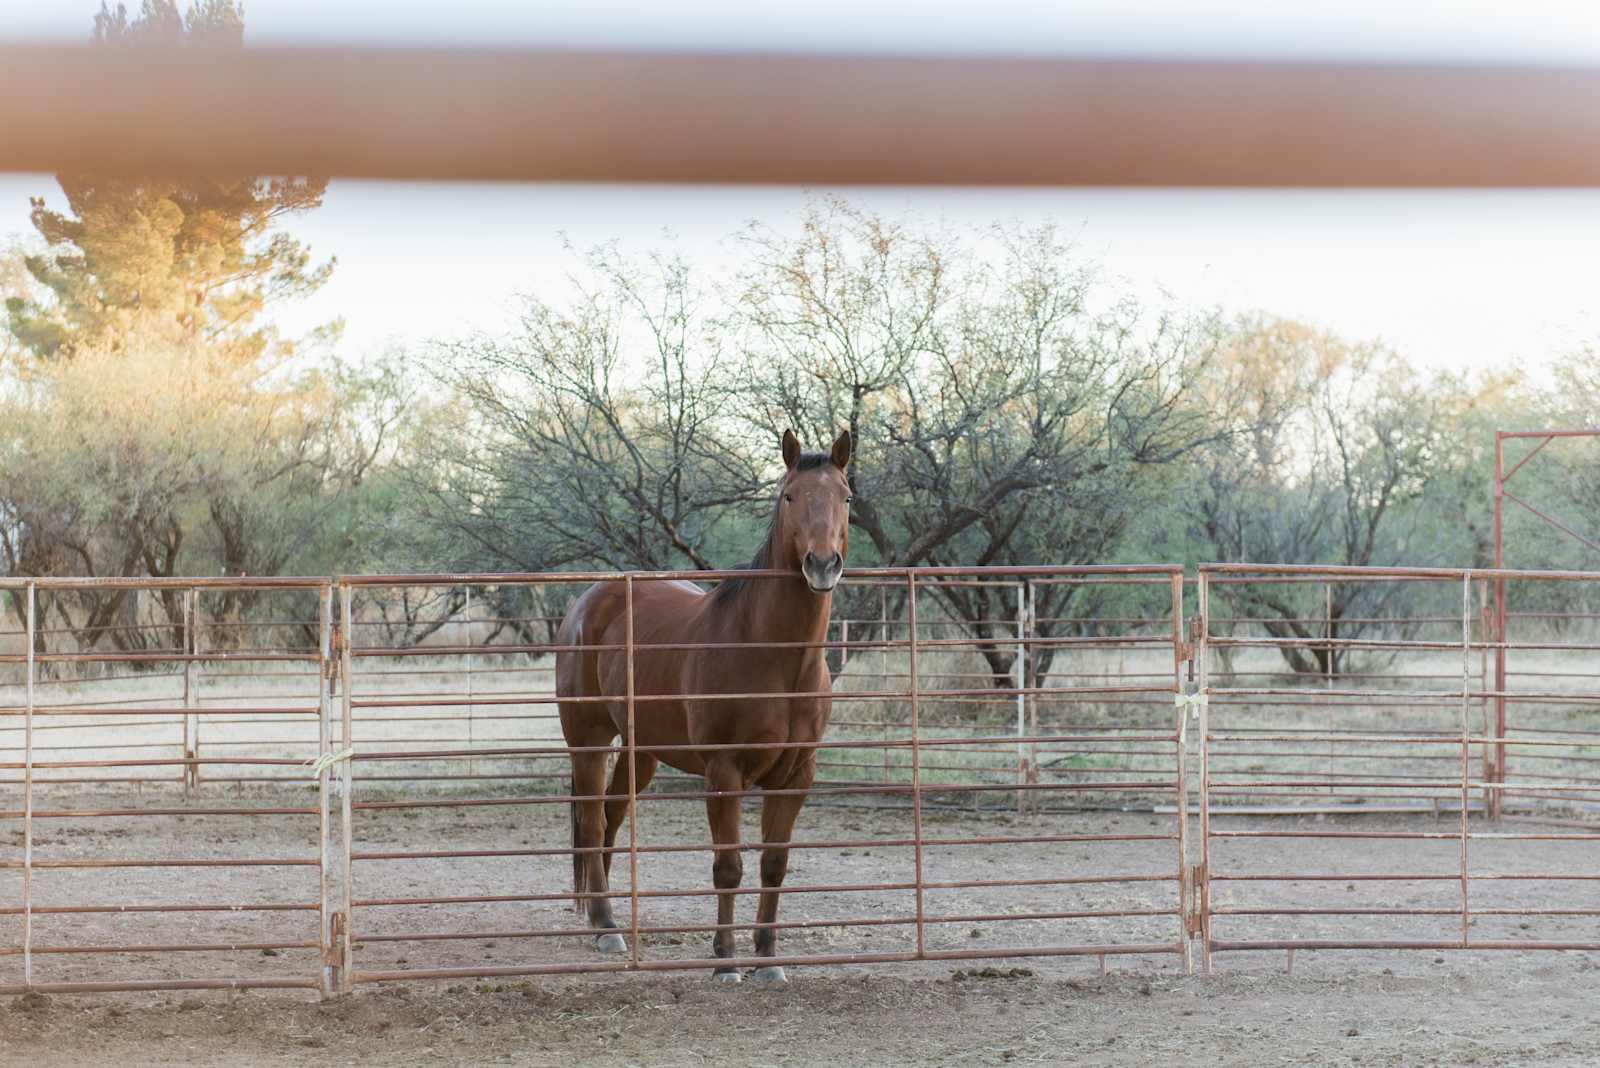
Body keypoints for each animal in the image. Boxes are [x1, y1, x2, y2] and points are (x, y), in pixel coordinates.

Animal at [555, 428, 852, 984]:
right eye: (789, 496)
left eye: (846, 497)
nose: (822, 565)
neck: (772, 654)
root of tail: (588, 602)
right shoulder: (724, 770)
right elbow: (729, 866)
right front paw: (725, 960)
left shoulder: (796, 776)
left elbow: (773, 866)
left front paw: (768, 960)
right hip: (588, 741)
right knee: (592, 820)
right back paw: (606, 927)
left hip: (642, 751)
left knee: (612, 816)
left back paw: (610, 920)